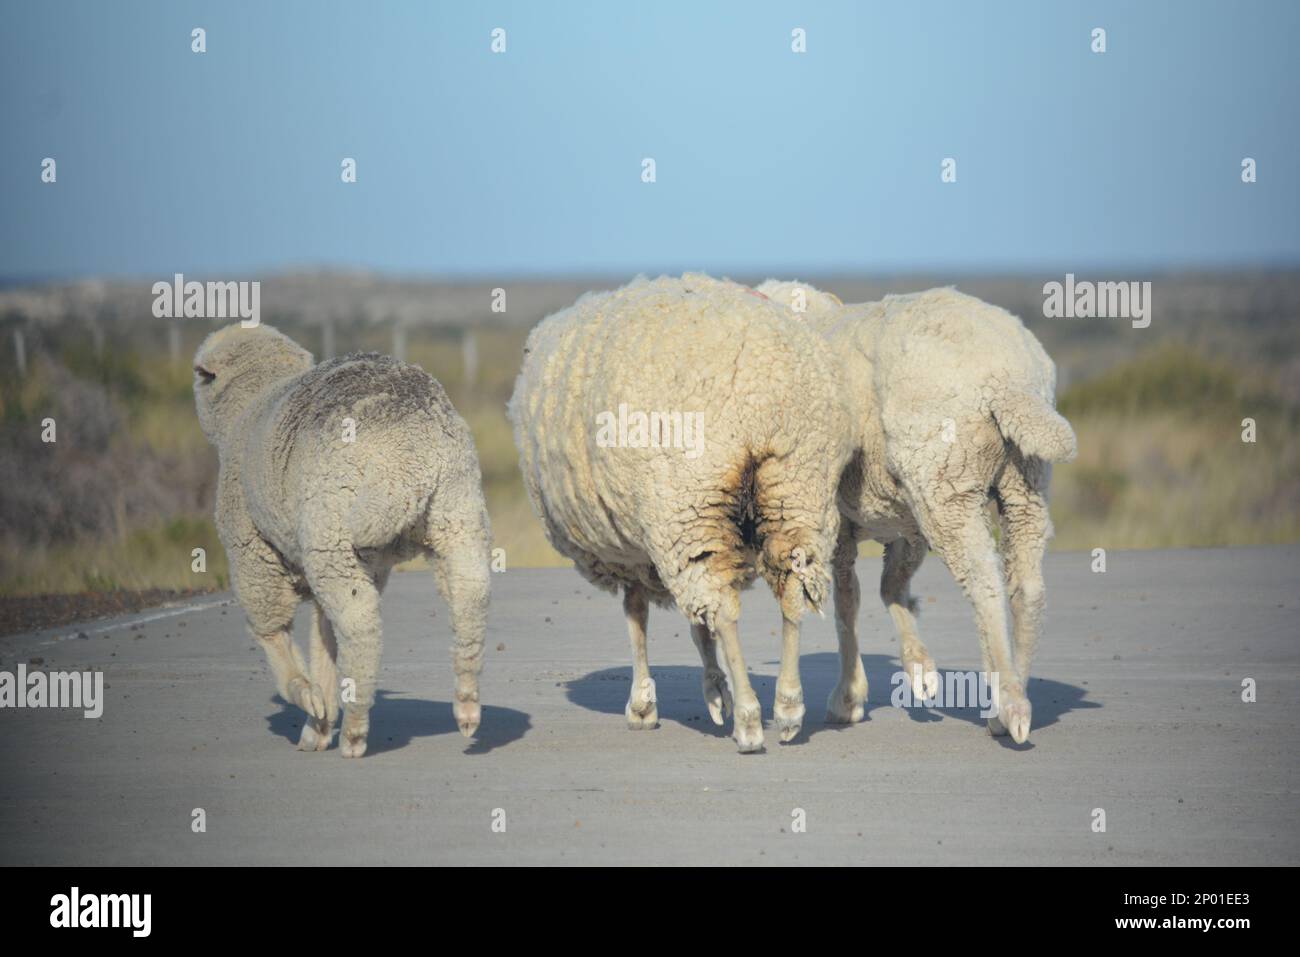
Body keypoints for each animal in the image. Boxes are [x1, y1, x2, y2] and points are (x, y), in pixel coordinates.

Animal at [192, 325, 491, 759]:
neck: (252, 401)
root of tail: (410, 453)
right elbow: (324, 639)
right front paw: (318, 721)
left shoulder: (248, 545)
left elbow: (272, 629)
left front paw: (307, 697)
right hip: (457, 507)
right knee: (470, 592)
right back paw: (467, 704)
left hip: (331, 528)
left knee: (359, 620)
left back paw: (354, 731)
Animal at [506, 273, 852, 748]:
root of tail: (762, 389)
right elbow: (693, 624)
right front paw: (714, 691)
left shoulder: (636, 552)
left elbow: (638, 617)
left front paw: (645, 705)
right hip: (797, 488)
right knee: (792, 591)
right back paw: (787, 708)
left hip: (690, 503)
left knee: (724, 609)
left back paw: (749, 721)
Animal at [759, 280, 1081, 743]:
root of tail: (1007, 379)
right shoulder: (902, 524)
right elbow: (888, 587)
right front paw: (918, 668)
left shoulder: (842, 521)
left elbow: (848, 601)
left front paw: (847, 697)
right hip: (1025, 480)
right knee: (1028, 586)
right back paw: (1010, 694)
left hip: (943, 485)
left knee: (984, 582)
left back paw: (1008, 706)